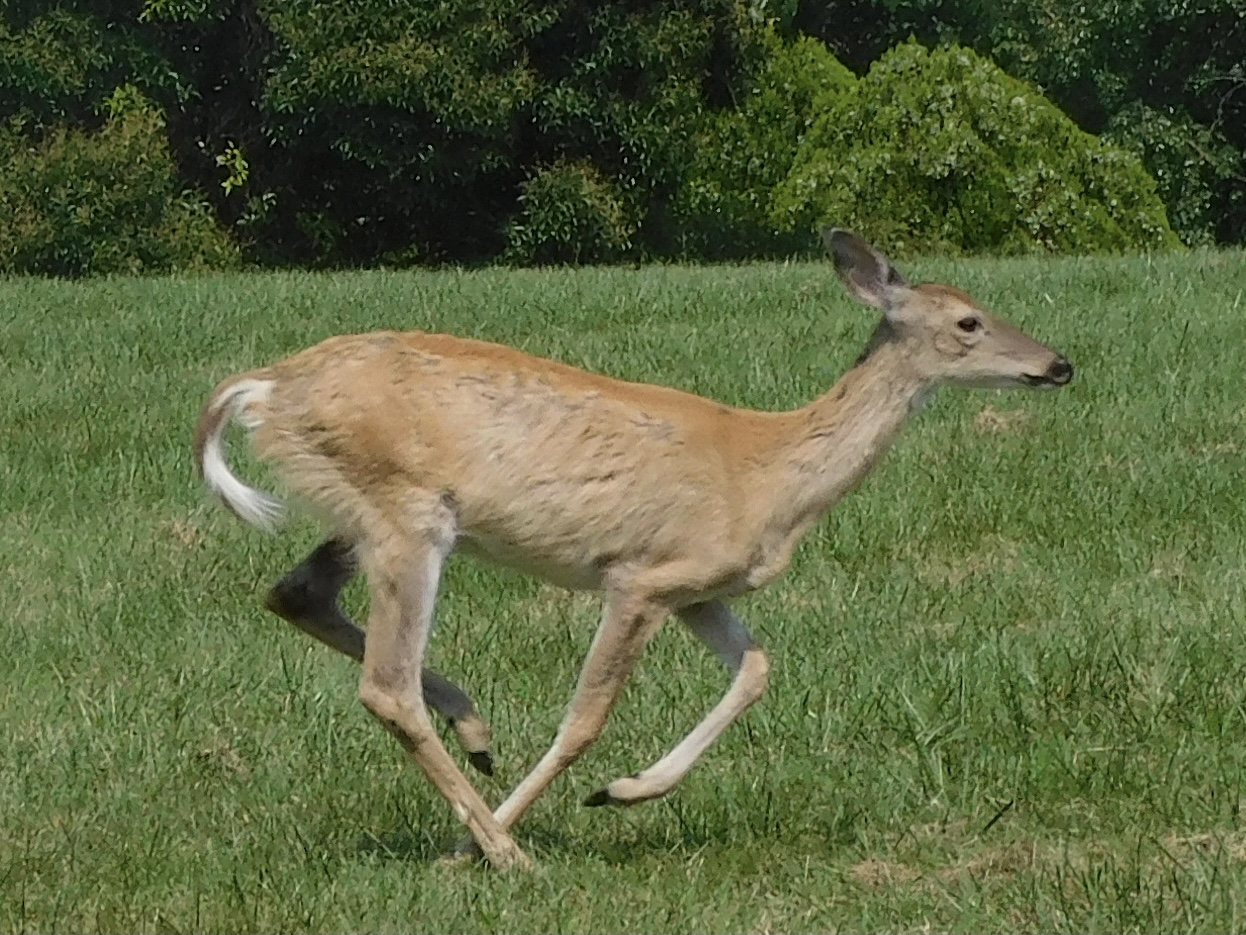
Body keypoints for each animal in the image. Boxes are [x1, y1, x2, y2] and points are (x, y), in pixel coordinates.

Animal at [193, 229, 1073, 871]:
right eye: (968, 321)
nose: (1058, 362)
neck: (767, 472)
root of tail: (266, 386)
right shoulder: (645, 575)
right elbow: (585, 717)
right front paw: (482, 844)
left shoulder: (699, 587)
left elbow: (758, 668)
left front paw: (621, 791)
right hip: (406, 511)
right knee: (385, 684)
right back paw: (506, 848)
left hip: (364, 512)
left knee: (295, 593)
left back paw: (476, 735)